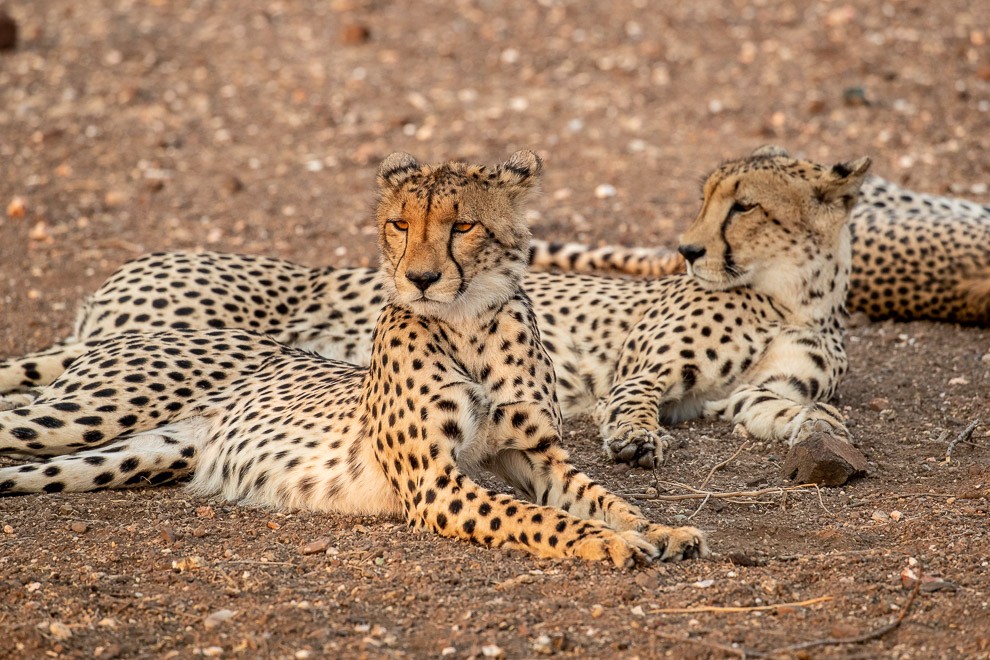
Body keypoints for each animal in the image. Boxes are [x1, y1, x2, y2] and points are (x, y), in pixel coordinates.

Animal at [0, 148, 868, 472]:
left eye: (744, 205)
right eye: (708, 198)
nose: (686, 250)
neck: (792, 295)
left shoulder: (757, 395)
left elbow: (801, 410)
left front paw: (829, 440)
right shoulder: (639, 373)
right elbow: (632, 405)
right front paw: (635, 440)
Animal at [1, 150, 712, 568]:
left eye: (462, 226)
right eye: (400, 224)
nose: (421, 279)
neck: (468, 322)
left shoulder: (534, 455)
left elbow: (600, 497)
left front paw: (657, 529)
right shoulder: (435, 483)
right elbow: (537, 518)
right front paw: (609, 542)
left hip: (126, 456)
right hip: (82, 414)